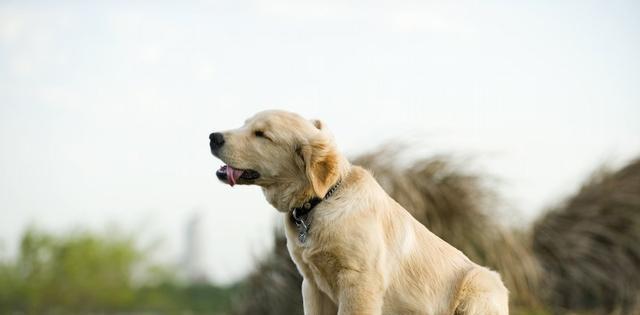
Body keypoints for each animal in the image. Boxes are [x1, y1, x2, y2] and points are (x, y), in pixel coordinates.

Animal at [210, 110, 510, 314]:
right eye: (245, 123)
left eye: (262, 135)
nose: (213, 137)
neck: (320, 201)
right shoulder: (312, 285)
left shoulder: (359, 281)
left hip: (479, 287)